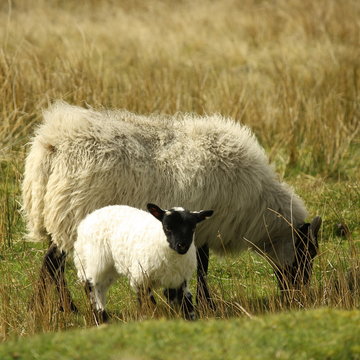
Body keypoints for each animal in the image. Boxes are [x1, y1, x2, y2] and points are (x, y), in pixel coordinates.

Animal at [74, 201, 214, 322]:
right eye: (167, 227)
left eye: (193, 227)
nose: (182, 246)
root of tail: (88, 218)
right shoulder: (141, 278)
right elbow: (148, 304)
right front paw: (149, 319)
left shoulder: (179, 281)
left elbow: (186, 305)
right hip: (95, 259)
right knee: (91, 285)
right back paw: (100, 316)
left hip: (110, 267)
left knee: (101, 287)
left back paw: (104, 318)